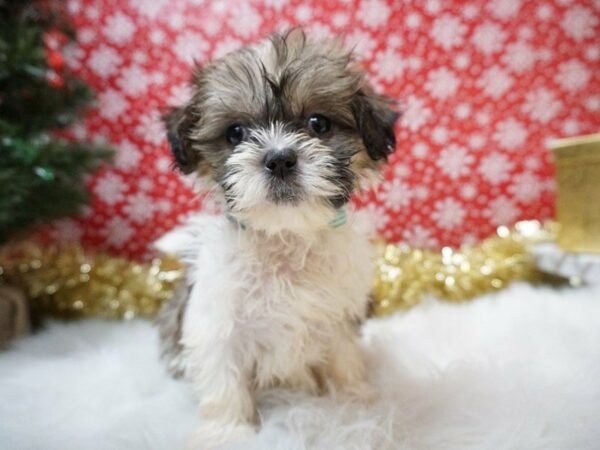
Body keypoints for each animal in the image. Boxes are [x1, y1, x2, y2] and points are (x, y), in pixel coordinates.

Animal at [156, 29, 398, 450]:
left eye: (318, 124)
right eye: (235, 133)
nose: (280, 158)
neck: (285, 236)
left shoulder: (338, 315)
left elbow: (343, 358)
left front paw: (354, 405)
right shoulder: (218, 322)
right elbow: (223, 379)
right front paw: (228, 432)